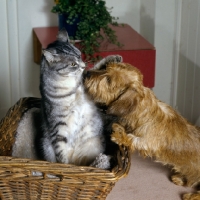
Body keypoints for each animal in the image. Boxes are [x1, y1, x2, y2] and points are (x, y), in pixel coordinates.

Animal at [84, 61, 200, 199]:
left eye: (108, 80)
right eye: (105, 68)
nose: (86, 73)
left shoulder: (149, 143)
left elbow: (133, 139)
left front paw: (119, 133)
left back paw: (190, 196)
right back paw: (180, 179)